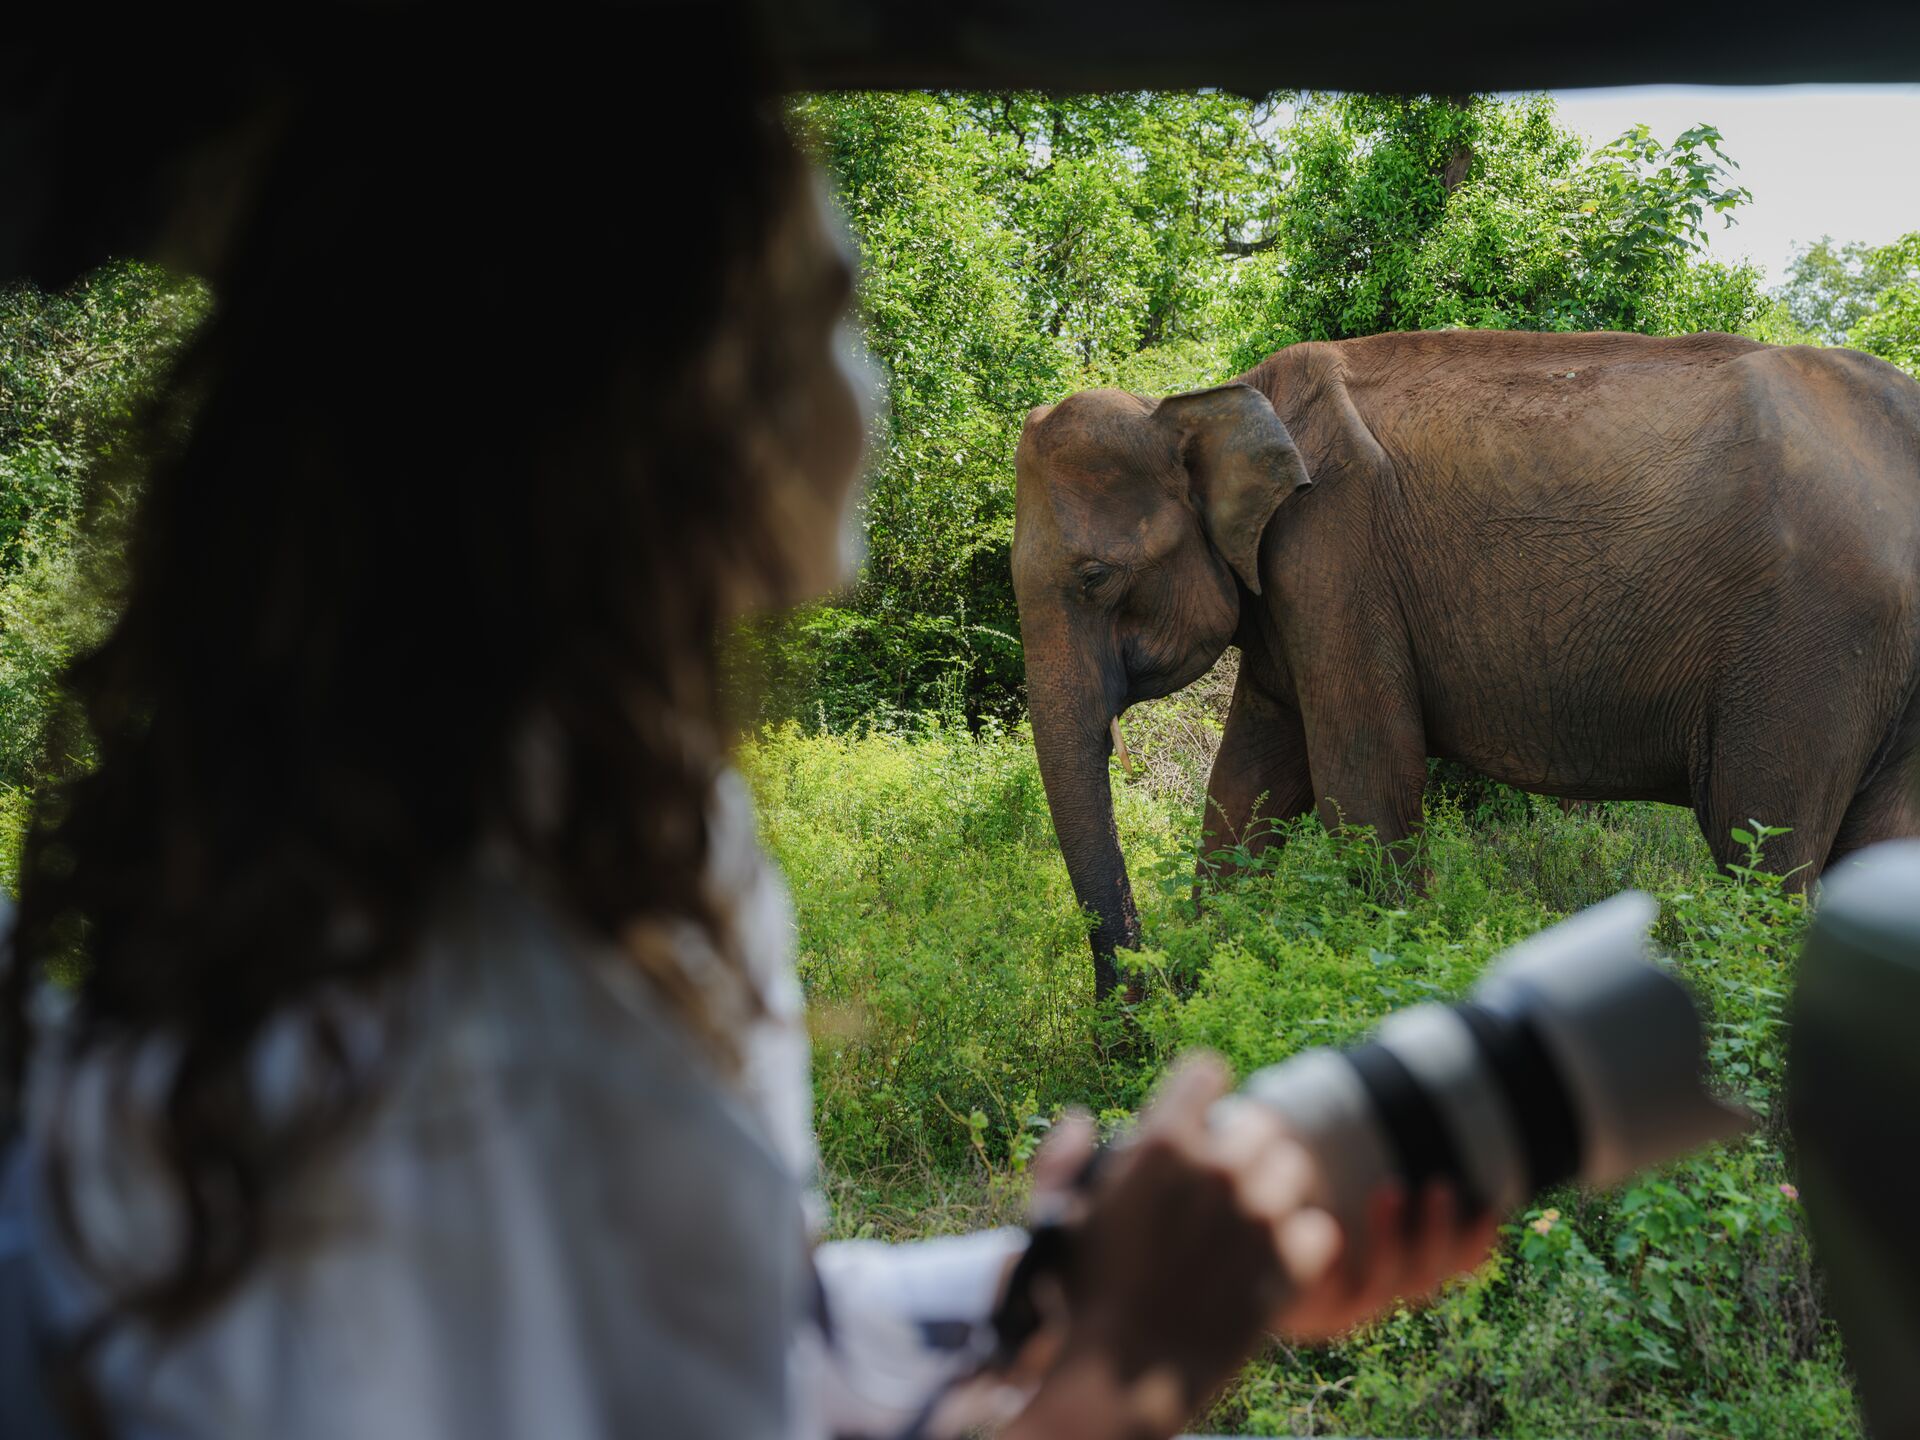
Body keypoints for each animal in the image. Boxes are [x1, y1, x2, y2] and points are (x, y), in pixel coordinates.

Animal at [1011, 330, 1920, 995]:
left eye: (1094, 578)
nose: (1138, 1004)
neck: (1210, 398)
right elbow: (1245, 787)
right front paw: (1216, 983)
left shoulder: (1333, 556)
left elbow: (1363, 789)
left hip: (1814, 644)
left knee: (1761, 849)